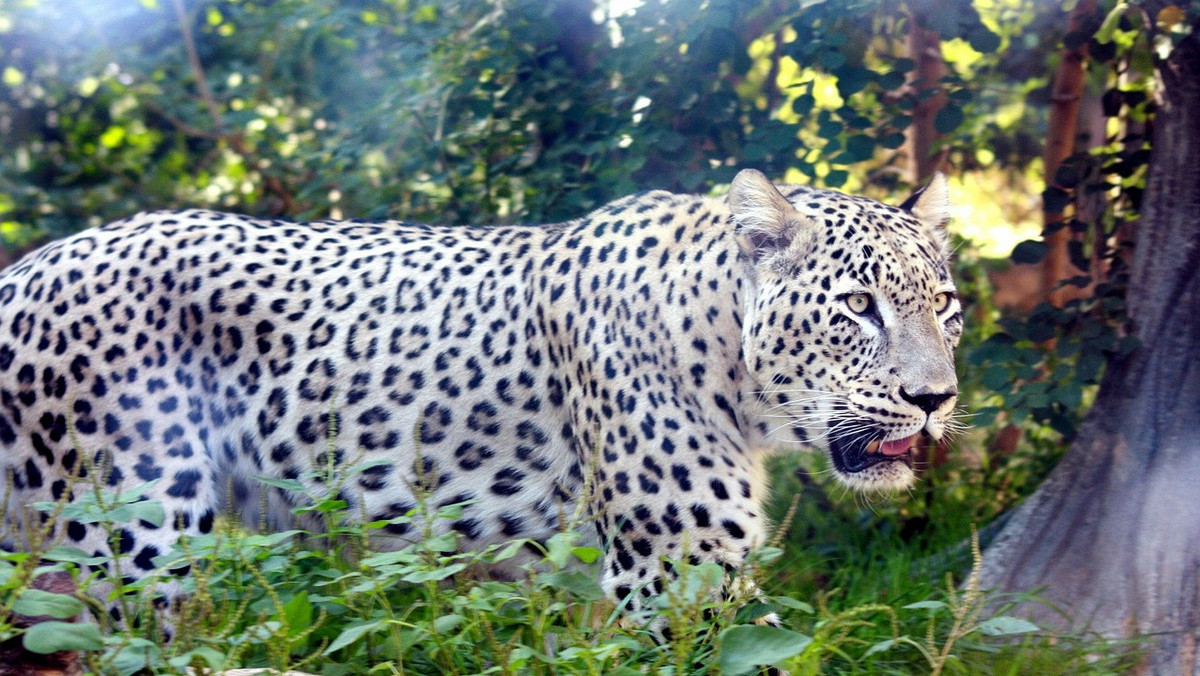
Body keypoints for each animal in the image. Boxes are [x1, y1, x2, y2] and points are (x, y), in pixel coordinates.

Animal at [0, 168, 960, 619]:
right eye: (859, 307)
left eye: (944, 306)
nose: (935, 400)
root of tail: (26, 266)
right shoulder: (676, 571)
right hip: (130, 541)